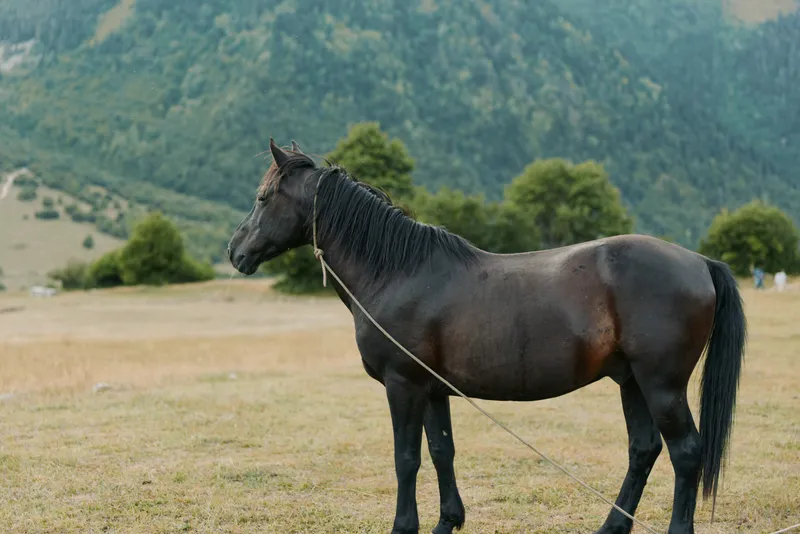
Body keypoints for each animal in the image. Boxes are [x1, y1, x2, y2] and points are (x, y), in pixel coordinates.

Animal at [228, 140, 746, 534]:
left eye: (262, 197)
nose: (234, 251)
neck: (399, 272)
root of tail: (699, 261)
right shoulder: (432, 389)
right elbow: (441, 451)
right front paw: (447, 522)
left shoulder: (403, 385)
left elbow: (405, 458)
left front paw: (405, 526)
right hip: (631, 381)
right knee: (644, 450)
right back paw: (610, 527)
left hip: (661, 384)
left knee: (686, 453)